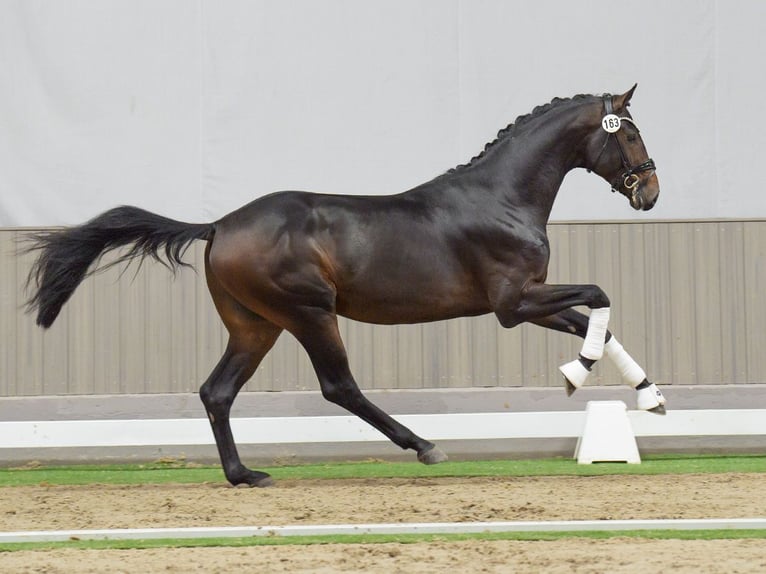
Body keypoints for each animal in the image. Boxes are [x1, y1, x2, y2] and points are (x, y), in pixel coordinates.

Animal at [25, 85, 664, 488]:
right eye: (629, 135)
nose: (650, 192)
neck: (502, 197)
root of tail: (220, 225)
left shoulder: (530, 298)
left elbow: (597, 322)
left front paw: (648, 395)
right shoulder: (512, 302)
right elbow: (600, 297)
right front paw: (577, 374)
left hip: (255, 325)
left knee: (217, 392)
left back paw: (244, 475)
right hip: (309, 313)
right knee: (339, 387)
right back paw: (425, 447)